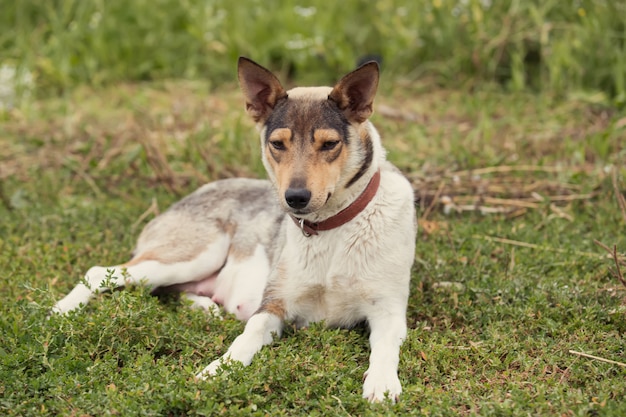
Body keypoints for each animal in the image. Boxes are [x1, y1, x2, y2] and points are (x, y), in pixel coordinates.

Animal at [52, 57, 414, 402]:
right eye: (277, 144)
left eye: (329, 144)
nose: (295, 198)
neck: (331, 226)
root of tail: (190, 195)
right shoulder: (273, 305)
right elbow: (247, 335)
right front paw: (219, 369)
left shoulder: (388, 311)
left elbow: (384, 349)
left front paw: (382, 384)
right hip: (194, 255)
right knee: (101, 272)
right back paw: (60, 311)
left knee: (161, 290)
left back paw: (206, 307)